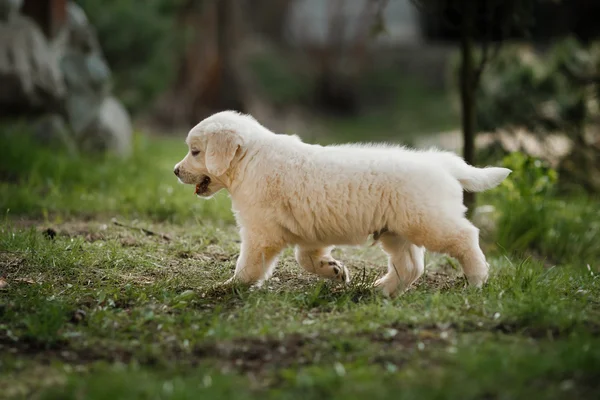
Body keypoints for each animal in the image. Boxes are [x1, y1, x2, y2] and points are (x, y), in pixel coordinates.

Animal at [173, 111, 510, 296]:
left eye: (195, 151)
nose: (175, 171)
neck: (250, 159)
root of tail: (442, 162)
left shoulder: (260, 232)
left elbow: (250, 264)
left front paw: (230, 286)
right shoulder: (309, 232)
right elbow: (306, 258)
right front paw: (335, 271)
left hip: (428, 221)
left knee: (466, 236)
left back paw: (476, 278)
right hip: (396, 230)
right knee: (411, 266)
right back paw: (379, 290)